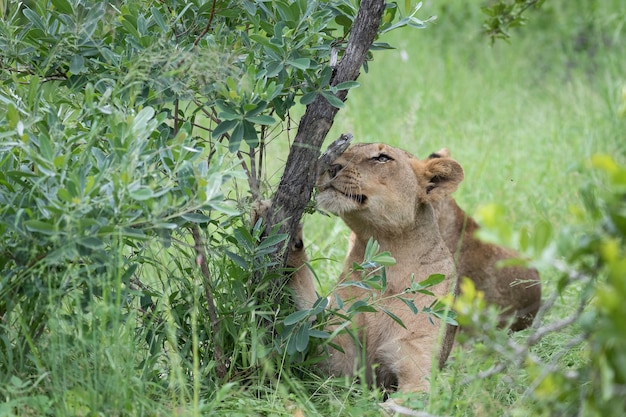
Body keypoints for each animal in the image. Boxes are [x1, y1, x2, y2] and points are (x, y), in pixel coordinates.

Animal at [256, 142, 460, 390]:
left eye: (382, 158)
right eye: (348, 149)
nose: (331, 167)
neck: (386, 260)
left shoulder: (417, 367)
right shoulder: (331, 355)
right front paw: (267, 217)